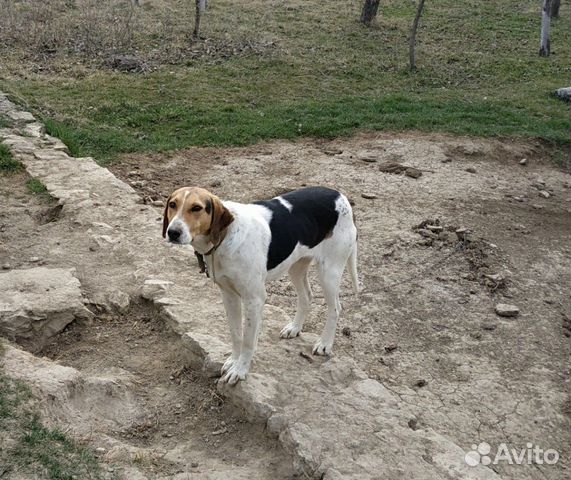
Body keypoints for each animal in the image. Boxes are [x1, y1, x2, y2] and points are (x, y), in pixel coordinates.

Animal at [162, 186, 358, 384]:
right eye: (172, 204)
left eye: (196, 208)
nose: (173, 232)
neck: (225, 236)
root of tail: (339, 195)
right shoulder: (229, 296)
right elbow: (236, 334)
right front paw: (234, 360)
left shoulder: (254, 300)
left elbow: (248, 340)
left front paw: (240, 370)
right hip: (295, 266)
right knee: (306, 296)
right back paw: (294, 328)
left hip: (329, 273)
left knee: (335, 308)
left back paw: (325, 344)